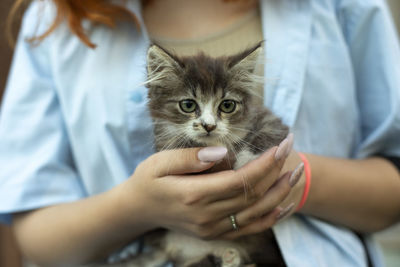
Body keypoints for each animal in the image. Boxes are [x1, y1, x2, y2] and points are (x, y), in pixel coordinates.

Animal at [124, 44, 288, 267]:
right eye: (188, 105)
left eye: (227, 105)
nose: (209, 126)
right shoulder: (165, 147)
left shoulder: (268, 119)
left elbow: (268, 133)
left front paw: (246, 160)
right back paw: (227, 258)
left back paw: (229, 257)